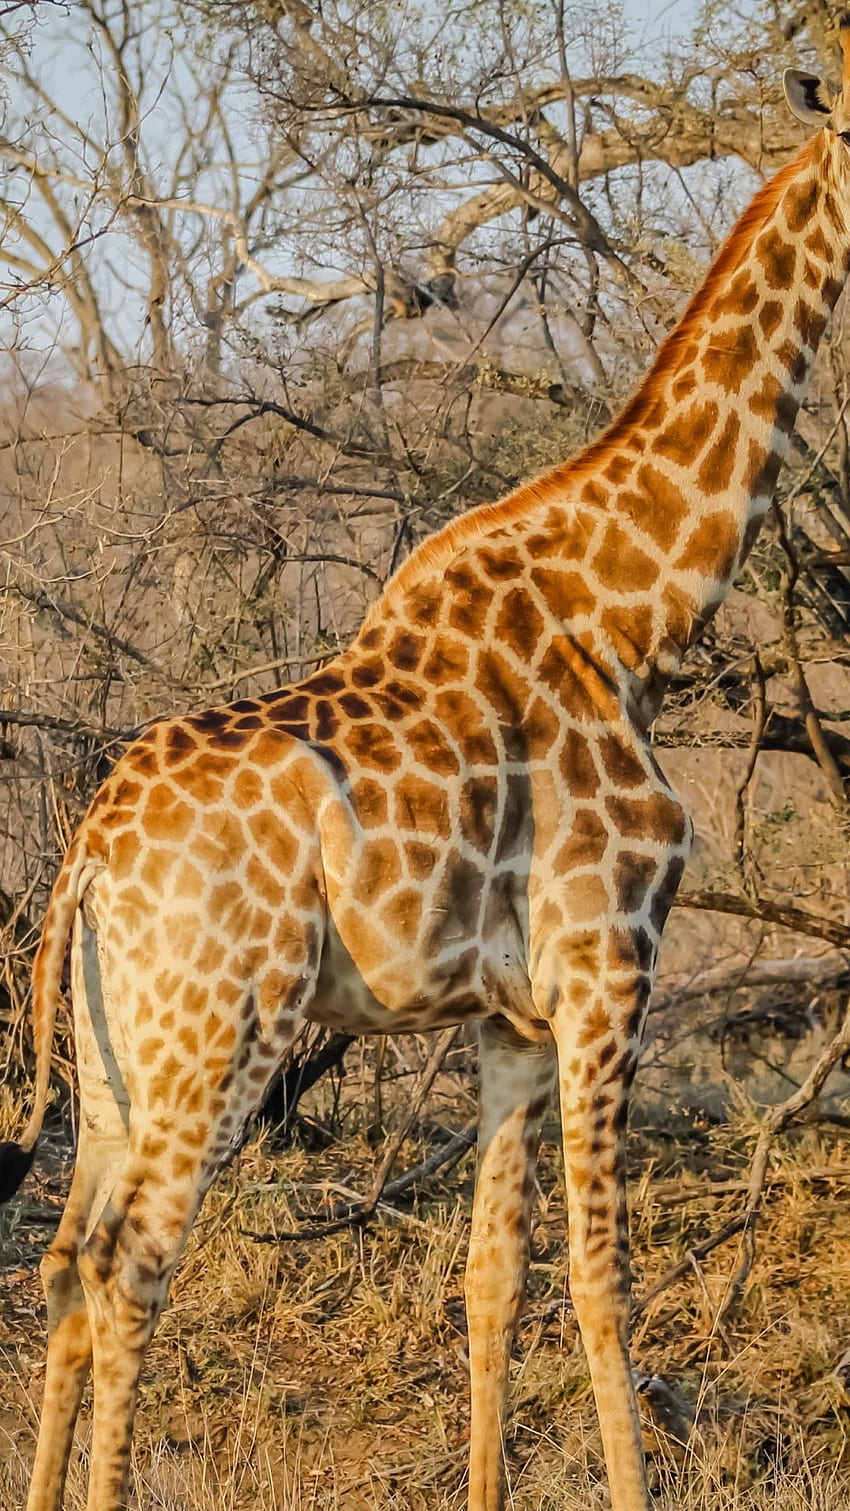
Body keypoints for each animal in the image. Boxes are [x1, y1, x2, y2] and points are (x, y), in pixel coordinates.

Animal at [1, 35, 850, 1511]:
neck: (631, 609)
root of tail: (90, 854)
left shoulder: (508, 1017)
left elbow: (492, 1279)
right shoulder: (609, 963)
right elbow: (601, 1279)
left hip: (116, 1059)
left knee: (61, 1259)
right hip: (219, 1034)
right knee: (129, 1268)